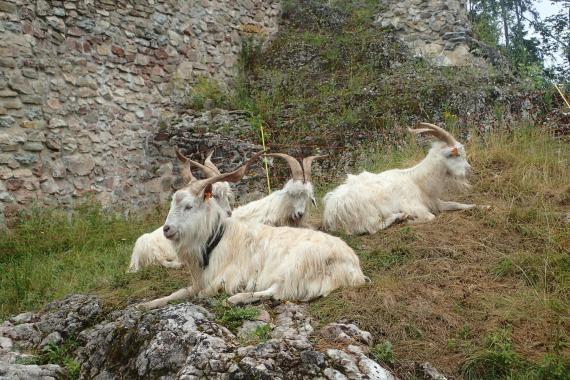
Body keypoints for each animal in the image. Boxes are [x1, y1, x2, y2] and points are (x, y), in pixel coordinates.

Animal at [139, 154, 366, 308]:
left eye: (188, 206)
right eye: (173, 202)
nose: (167, 229)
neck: (218, 239)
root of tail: (355, 268)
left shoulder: (227, 277)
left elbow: (203, 293)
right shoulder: (198, 280)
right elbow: (179, 293)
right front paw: (146, 304)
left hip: (297, 265)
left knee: (277, 291)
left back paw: (236, 298)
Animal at [322, 122, 478, 235]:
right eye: (456, 155)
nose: (470, 170)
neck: (416, 181)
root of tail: (330, 213)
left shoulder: (433, 202)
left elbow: (456, 204)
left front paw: (479, 206)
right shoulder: (413, 205)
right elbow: (430, 217)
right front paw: (411, 220)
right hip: (367, 213)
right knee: (373, 228)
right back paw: (400, 216)